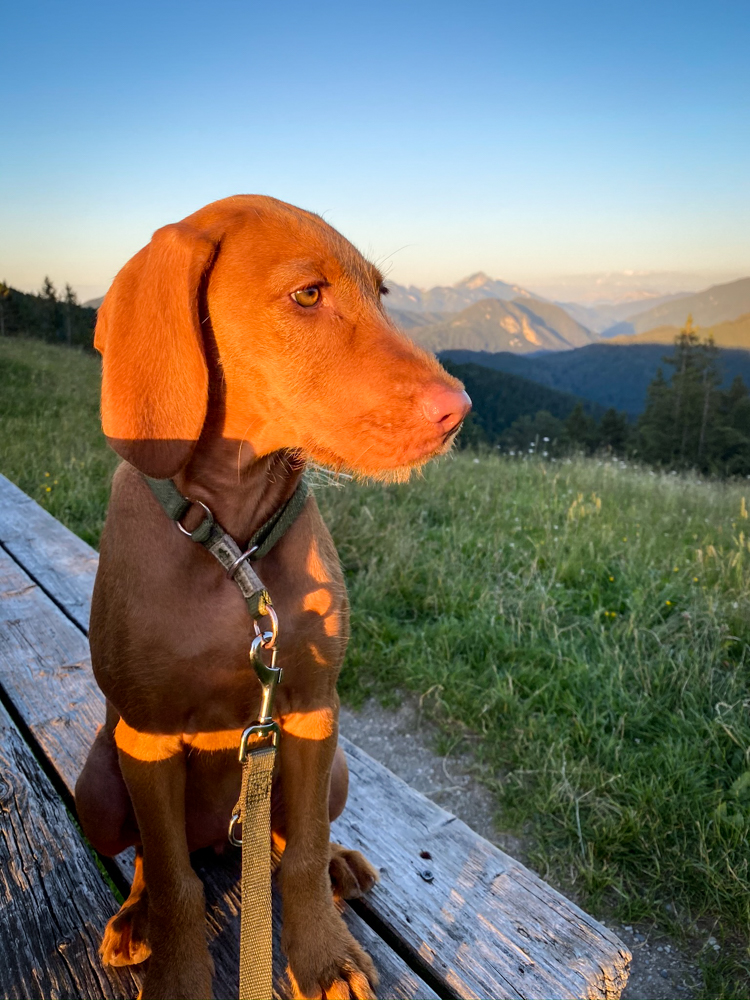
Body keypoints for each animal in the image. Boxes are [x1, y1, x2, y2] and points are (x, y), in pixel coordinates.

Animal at [76, 197, 472, 1000]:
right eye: (308, 295)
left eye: (381, 294)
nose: (460, 410)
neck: (234, 536)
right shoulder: (147, 734)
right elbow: (174, 882)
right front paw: (178, 974)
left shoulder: (314, 705)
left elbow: (301, 852)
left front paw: (321, 955)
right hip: (97, 785)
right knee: (155, 857)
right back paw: (134, 917)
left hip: (336, 765)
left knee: (293, 836)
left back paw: (339, 866)